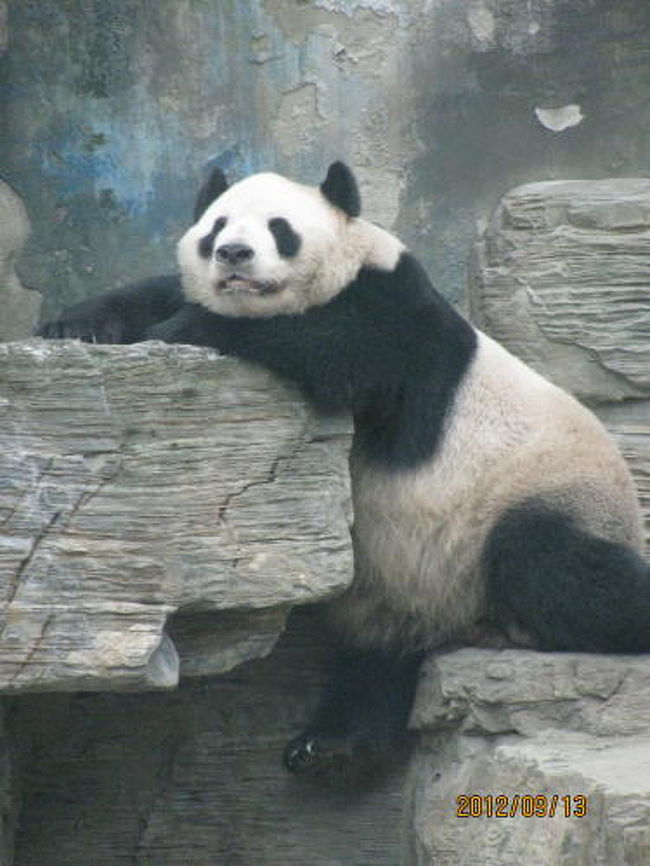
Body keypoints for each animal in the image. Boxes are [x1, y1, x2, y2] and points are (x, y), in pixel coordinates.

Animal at [39, 162, 648, 784]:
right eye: (217, 226)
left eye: (279, 229)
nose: (234, 254)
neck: (351, 264)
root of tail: (471, 617)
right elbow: (155, 289)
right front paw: (76, 326)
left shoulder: (393, 320)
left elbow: (328, 346)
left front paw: (178, 328)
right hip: (407, 586)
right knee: (376, 663)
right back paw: (333, 745)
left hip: (538, 497)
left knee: (558, 567)